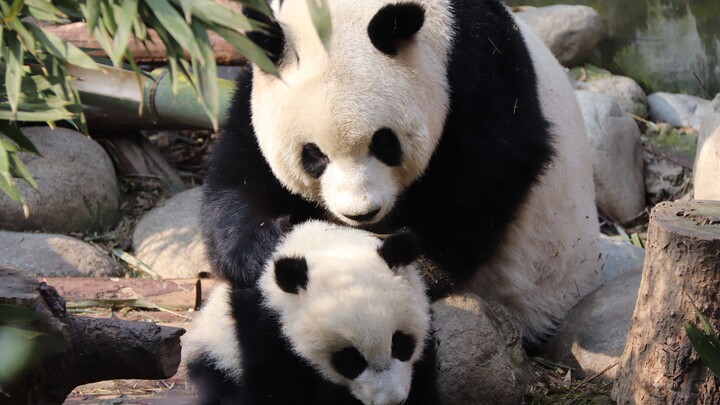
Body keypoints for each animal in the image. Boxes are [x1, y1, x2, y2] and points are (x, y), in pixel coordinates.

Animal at [183, 219, 438, 402]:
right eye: (349, 359)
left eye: (400, 344)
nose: (391, 401)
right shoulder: (266, 326)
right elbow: (273, 386)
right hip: (217, 354)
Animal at [200, 0, 600, 342]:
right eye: (313, 155)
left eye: (384, 143)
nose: (361, 213)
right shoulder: (256, 83)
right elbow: (241, 169)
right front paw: (267, 246)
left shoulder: (480, 65)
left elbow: (490, 169)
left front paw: (414, 268)